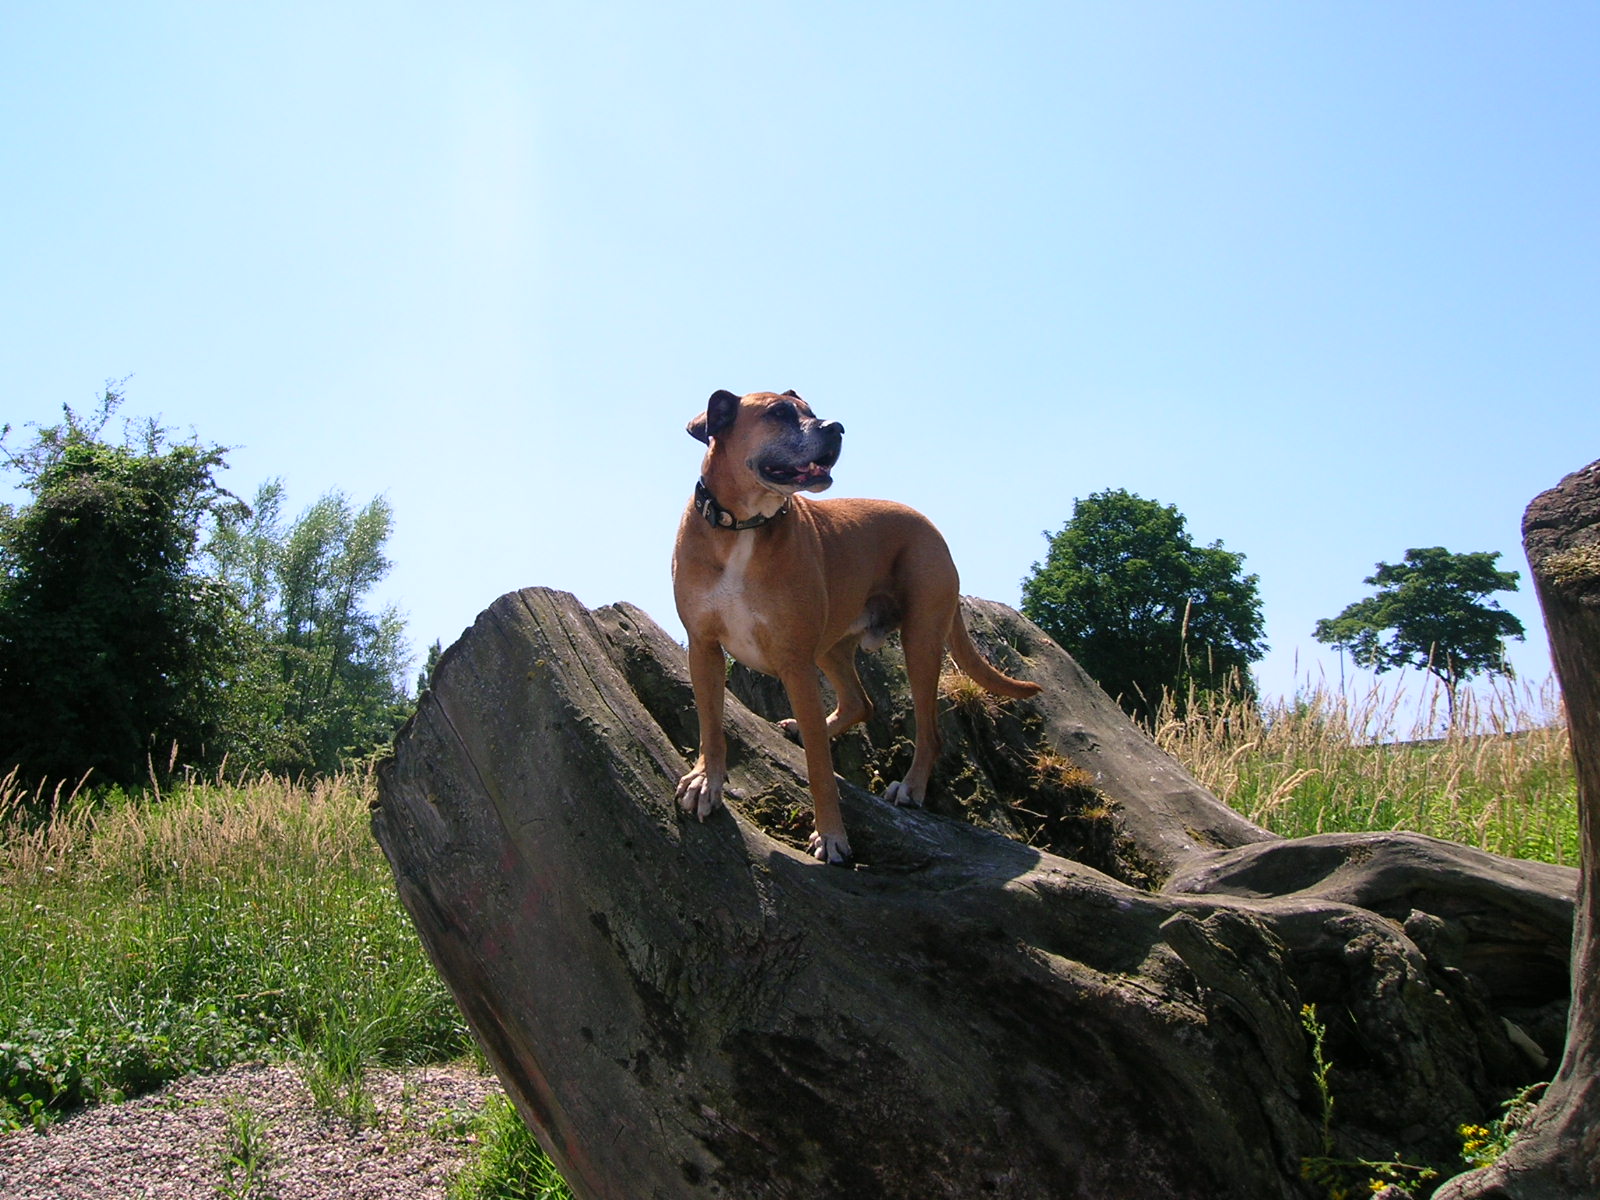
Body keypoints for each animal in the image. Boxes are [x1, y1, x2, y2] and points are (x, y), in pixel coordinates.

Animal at [672, 387, 1036, 864]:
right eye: (779, 412)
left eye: (810, 410)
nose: (836, 427)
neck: (743, 527)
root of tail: (932, 528)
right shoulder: (704, 647)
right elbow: (711, 726)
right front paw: (704, 781)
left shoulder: (795, 664)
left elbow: (820, 769)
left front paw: (831, 835)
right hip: (831, 648)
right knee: (859, 703)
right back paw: (805, 729)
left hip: (920, 641)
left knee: (928, 732)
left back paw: (910, 787)